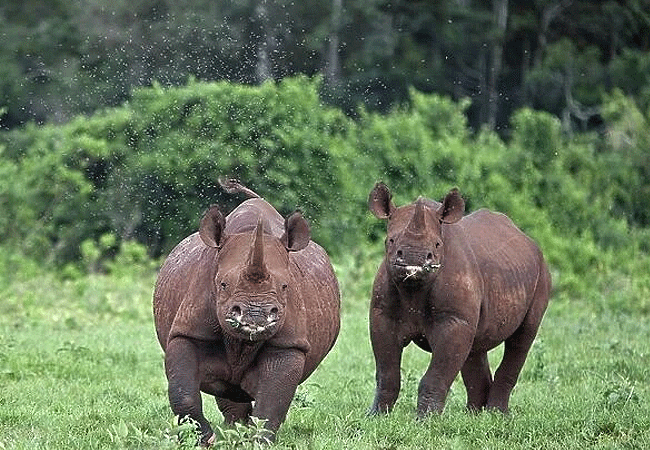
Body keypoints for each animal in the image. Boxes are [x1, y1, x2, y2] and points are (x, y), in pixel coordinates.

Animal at [153, 181, 340, 444]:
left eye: (285, 286)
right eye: (222, 284)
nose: (255, 315)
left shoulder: (288, 343)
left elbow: (272, 402)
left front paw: (257, 442)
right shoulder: (188, 331)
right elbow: (183, 392)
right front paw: (206, 440)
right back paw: (231, 429)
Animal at [364, 183, 548, 418]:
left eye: (437, 244)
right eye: (390, 240)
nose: (414, 259)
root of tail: (527, 238)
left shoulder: (453, 321)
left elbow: (437, 375)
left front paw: (426, 420)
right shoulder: (382, 317)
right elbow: (387, 372)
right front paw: (376, 416)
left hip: (542, 273)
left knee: (522, 338)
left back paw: (497, 415)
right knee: (475, 347)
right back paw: (473, 415)